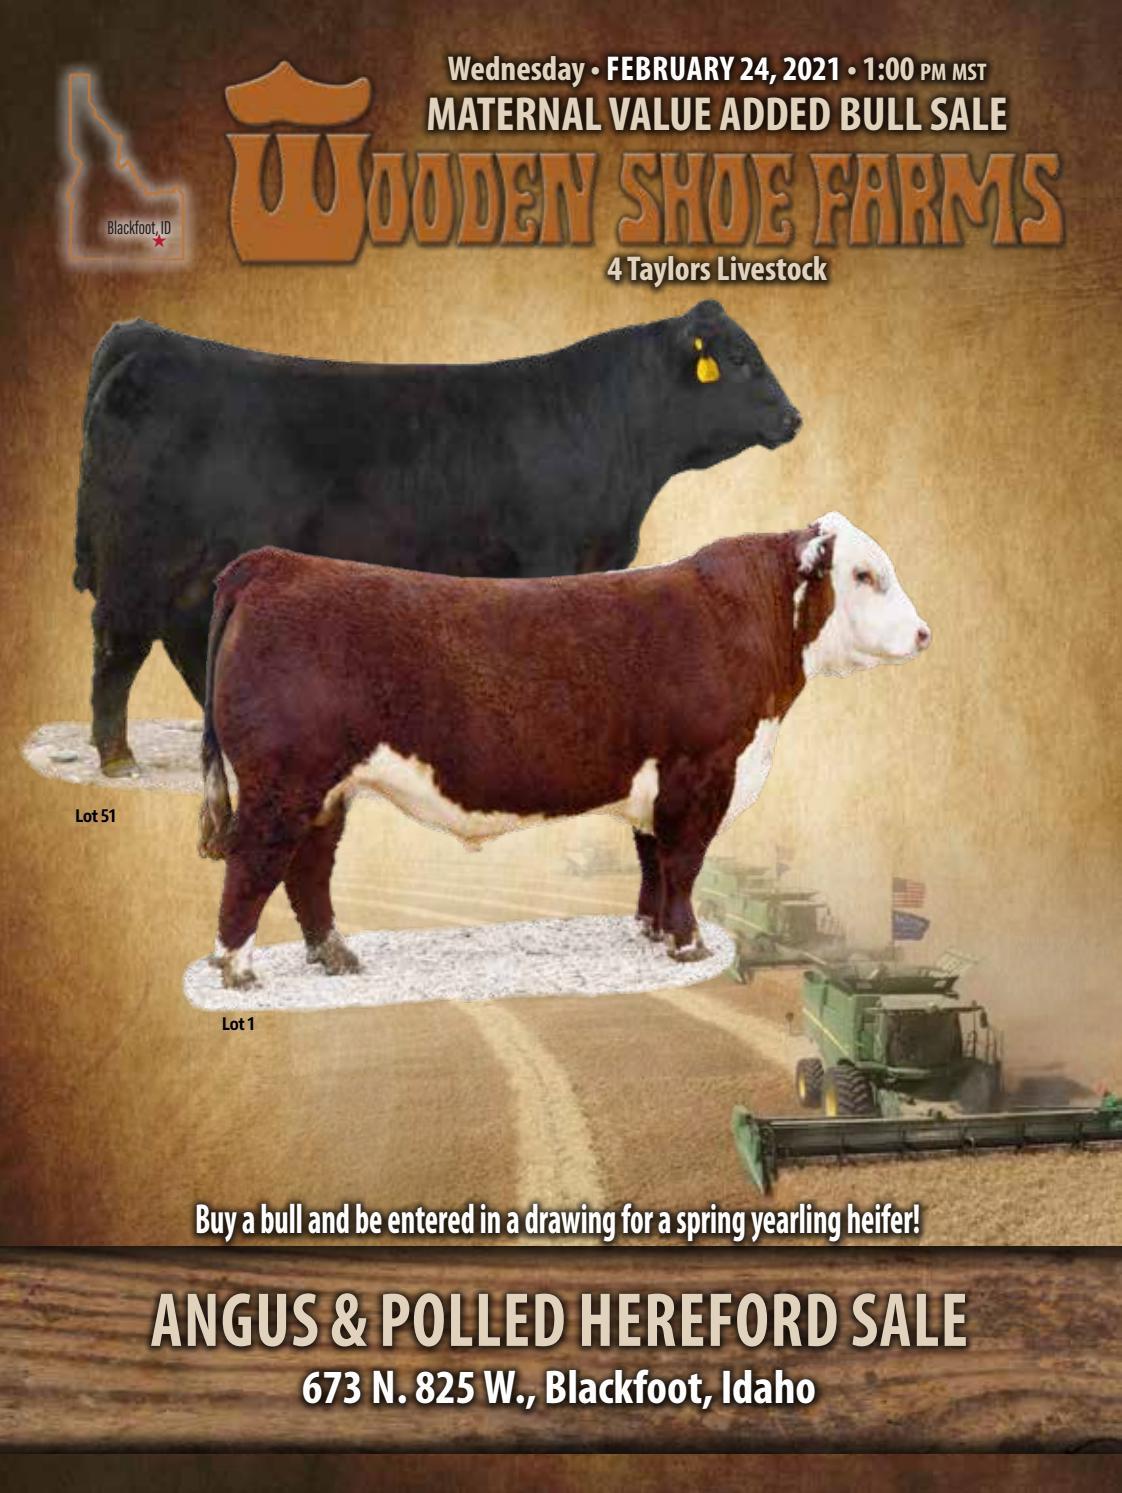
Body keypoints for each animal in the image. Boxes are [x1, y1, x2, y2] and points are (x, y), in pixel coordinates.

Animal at [72, 302, 801, 777]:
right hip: (139, 559)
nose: (794, 418)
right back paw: (117, 757)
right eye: (739, 359)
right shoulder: (548, 554)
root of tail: (144, 337)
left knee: (183, 638)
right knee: (120, 639)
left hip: (194, 566)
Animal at [197, 512, 930, 990]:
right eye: (864, 574)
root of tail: (273, 562)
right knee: (255, 862)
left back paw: (335, 955)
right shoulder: (701, 772)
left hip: (326, 788)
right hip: (282, 783)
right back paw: (237, 968)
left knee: (308, 869)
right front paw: (689, 944)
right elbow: (685, 863)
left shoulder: (655, 783)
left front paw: (651, 931)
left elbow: (653, 860)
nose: (924, 633)